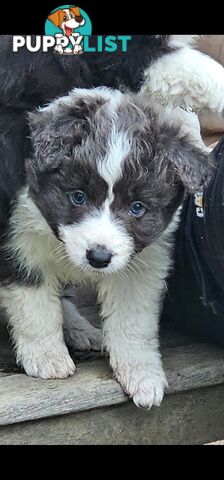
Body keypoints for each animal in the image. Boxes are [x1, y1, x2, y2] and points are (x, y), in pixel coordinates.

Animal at [0, 87, 212, 408]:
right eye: (78, 197)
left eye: (137, 207)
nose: (98, 257)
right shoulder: (21, 244)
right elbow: (34, 307)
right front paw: (46, 357)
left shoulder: (140, 266)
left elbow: (133, 321)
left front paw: (142, 375)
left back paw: (81, 330)